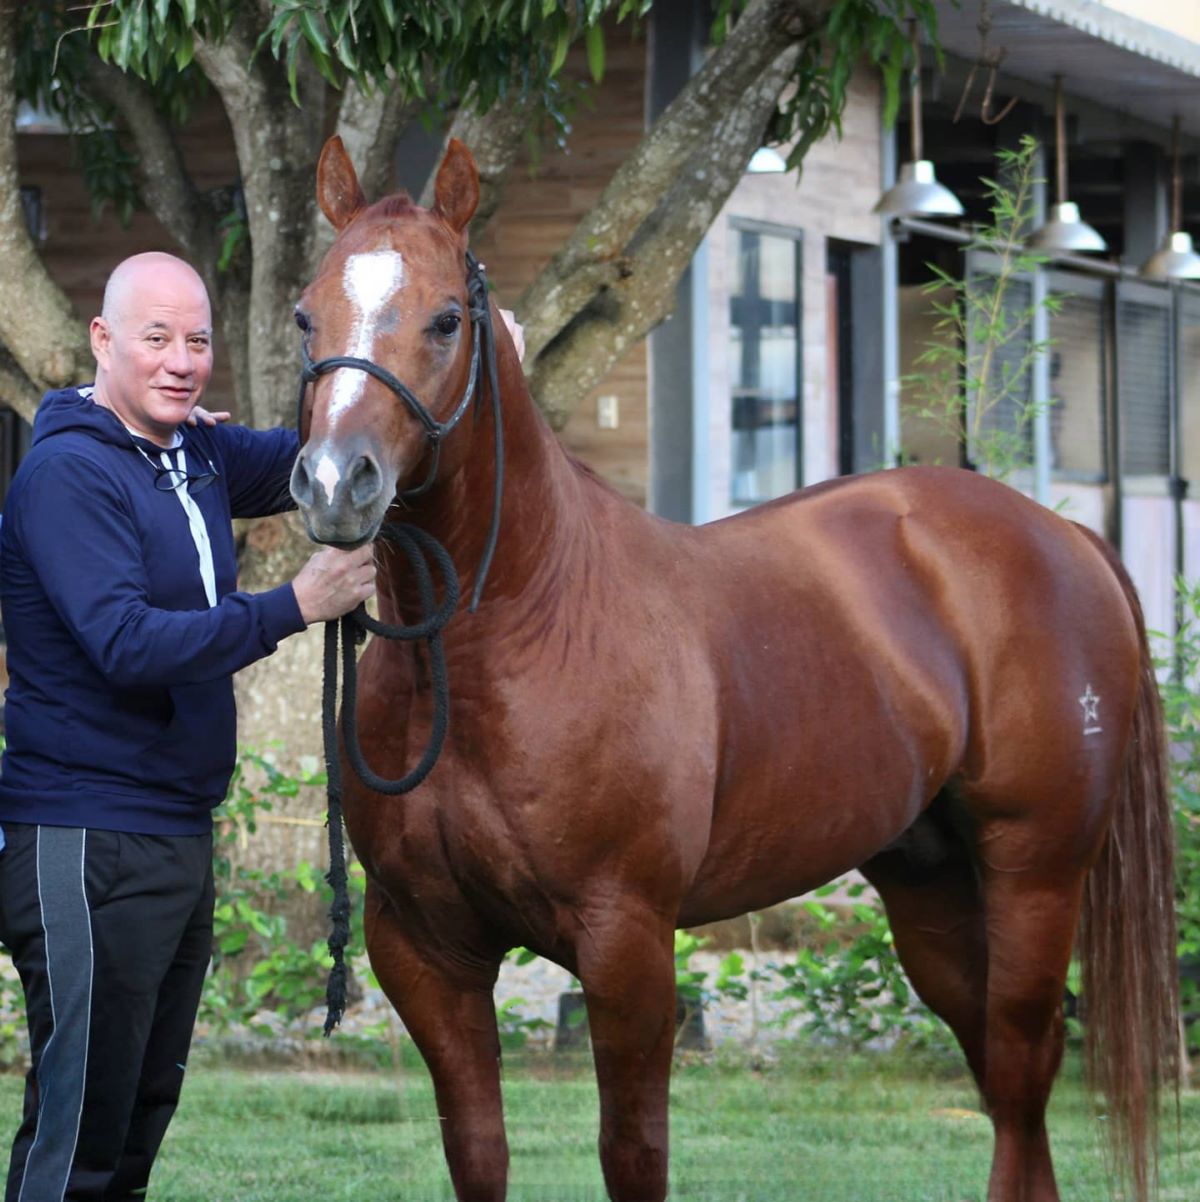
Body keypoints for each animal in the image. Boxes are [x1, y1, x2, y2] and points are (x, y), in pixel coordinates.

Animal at [293, 134, 1183, 1202]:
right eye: (306, 314)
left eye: (444, 319)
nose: (336, 484)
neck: (507, 636)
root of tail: (1062, 536)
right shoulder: (425, 949)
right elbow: (477, 1150)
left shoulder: (628, 943)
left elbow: (633, 1154)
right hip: (928, 883)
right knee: (1007, 1082)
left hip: (1037, 872)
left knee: (1019, 1065)